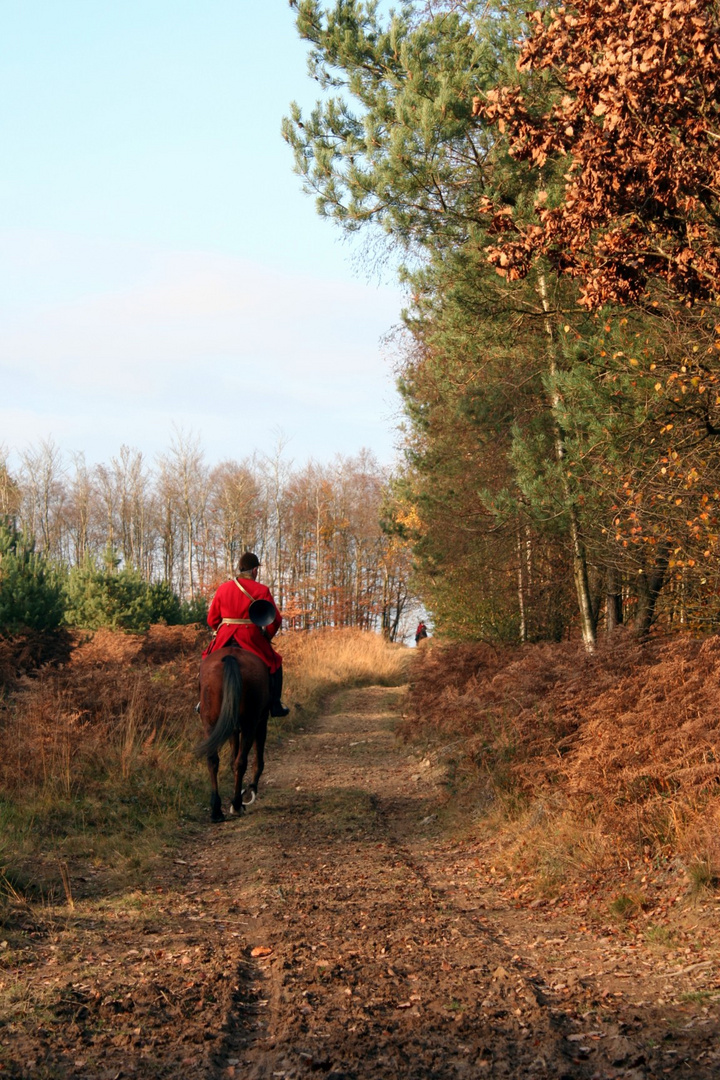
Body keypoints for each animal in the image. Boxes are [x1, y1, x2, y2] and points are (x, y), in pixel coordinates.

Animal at [195, 648, 268, 816]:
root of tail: (231, 657)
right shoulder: (262, 720)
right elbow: (257, 758)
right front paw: (250, 789)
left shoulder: (233, 728)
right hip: (250, 723)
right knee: (241, 761)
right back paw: (236, 803)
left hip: (210, 723)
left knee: (213, 760)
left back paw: (216, 809)